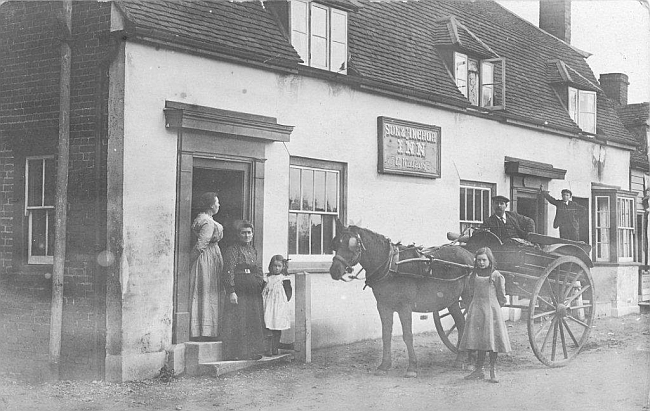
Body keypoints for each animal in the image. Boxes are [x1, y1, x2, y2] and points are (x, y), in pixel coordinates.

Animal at [326, 222, 474, 380]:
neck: (391, 265)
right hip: (452, 300)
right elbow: (386, 335)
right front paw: (384, 366)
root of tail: (471, 255)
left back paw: (470, 360)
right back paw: (460, 358)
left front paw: (412, 367)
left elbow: (407, 336)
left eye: (353, 245)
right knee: (461, 324)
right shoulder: (383, 306)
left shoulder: (405, 307)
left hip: (468, 297)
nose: (334, 271)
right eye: (336, 244)